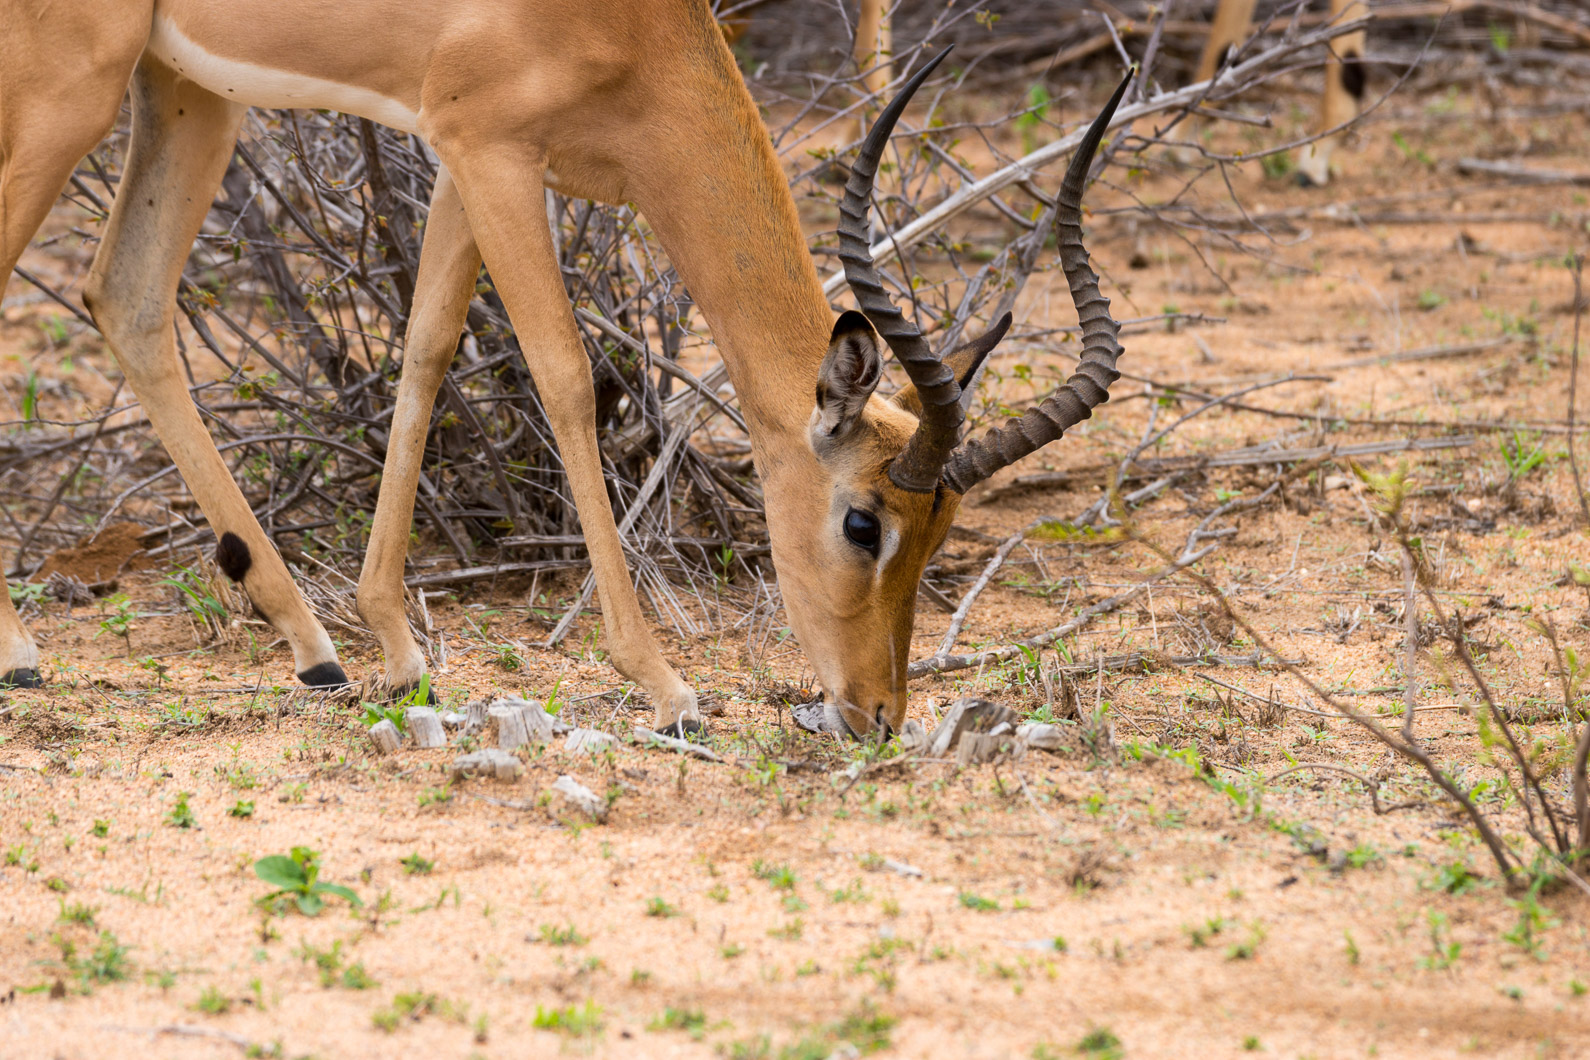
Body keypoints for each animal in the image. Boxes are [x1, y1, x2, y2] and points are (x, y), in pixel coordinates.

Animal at [0, 1, 1127, 738]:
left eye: (941, 535)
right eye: (864, 523)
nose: (877, 715)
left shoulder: (461, 154)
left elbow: (425, 350)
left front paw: (397, 650)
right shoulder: (494, 151)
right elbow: (565, 378)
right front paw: (666, 687)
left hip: (180, 86)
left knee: (127, 296)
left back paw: (314, 648)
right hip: (69, 83)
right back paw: (22, 657)